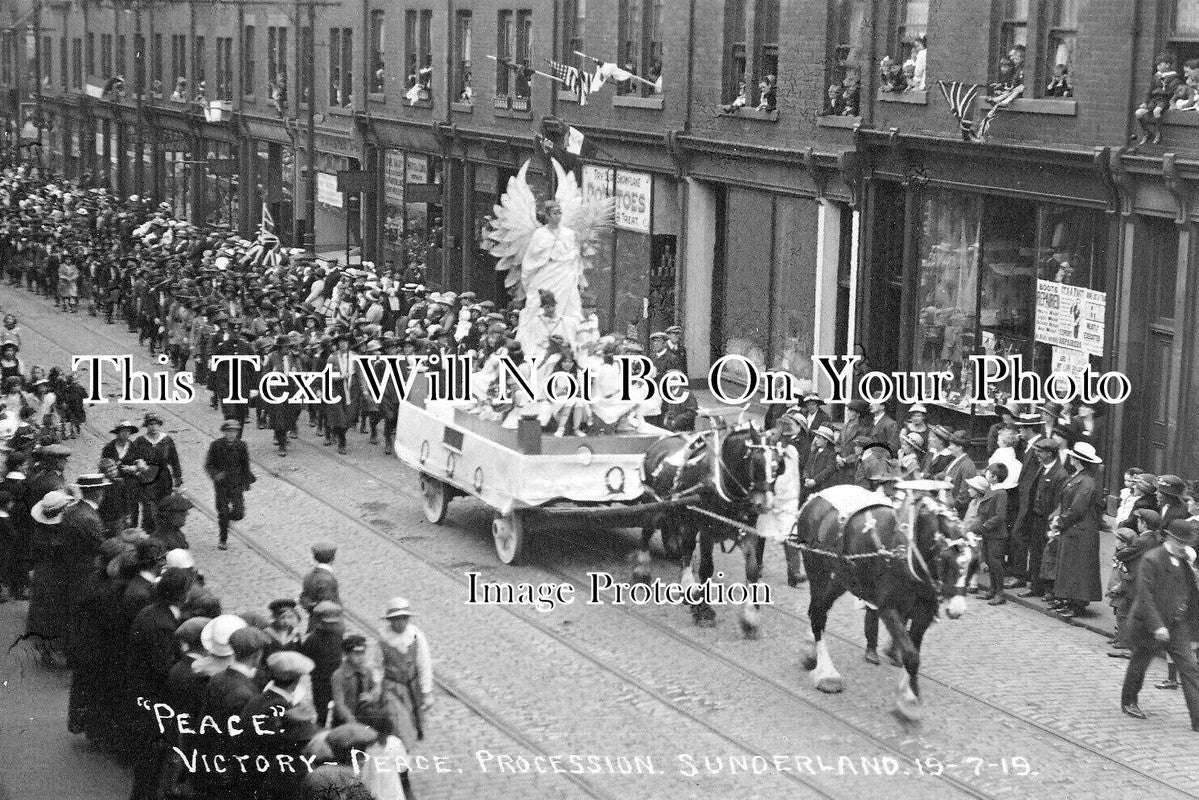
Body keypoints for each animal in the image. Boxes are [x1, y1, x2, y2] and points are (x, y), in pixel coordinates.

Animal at [633, 419, 781, 638]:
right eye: (756, 463)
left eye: (778, 465)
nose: (765, 504)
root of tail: (658, 443)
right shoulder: (707, 530)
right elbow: (706, 569)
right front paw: (704, 610)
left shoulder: (746, 532)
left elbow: (753, 570)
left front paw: (750, 618)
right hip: (655, 507)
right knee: (647, 533)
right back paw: (642, 570)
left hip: (683, 516)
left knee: (684, 548)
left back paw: (687, 585)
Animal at [796, 484, 973, 724]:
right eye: (946, 561)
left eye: (974, 565)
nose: (956, 609)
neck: (908, 552)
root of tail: (815, 498)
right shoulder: (888, 608)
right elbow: (910, 654)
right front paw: (910, 702)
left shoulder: (923, 613)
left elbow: (913, 653)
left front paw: (909, 694)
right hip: (818, 570)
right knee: (818, 614)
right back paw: (827, 674)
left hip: (841, 578)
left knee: (818, 609)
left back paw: (810, 652)